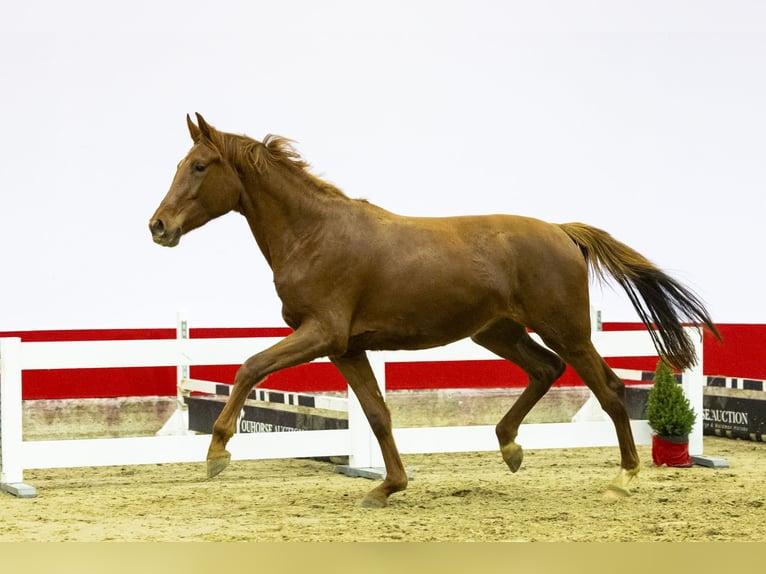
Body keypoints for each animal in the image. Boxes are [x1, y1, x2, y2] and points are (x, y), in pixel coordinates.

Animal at [150, 115, 720, 510]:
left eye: (199, 166)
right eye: (177, 165)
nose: (158, 226)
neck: (314, 234)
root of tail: (562, 232)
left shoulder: (321, 333)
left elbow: (249, 367)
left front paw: (217, 454)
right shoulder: (347, 347)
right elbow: (377, 414)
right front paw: (387, 487)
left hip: (567, 330)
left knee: (609, 387)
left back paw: (623, 478)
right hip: (497, 333)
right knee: (545, 370)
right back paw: (509, 447)